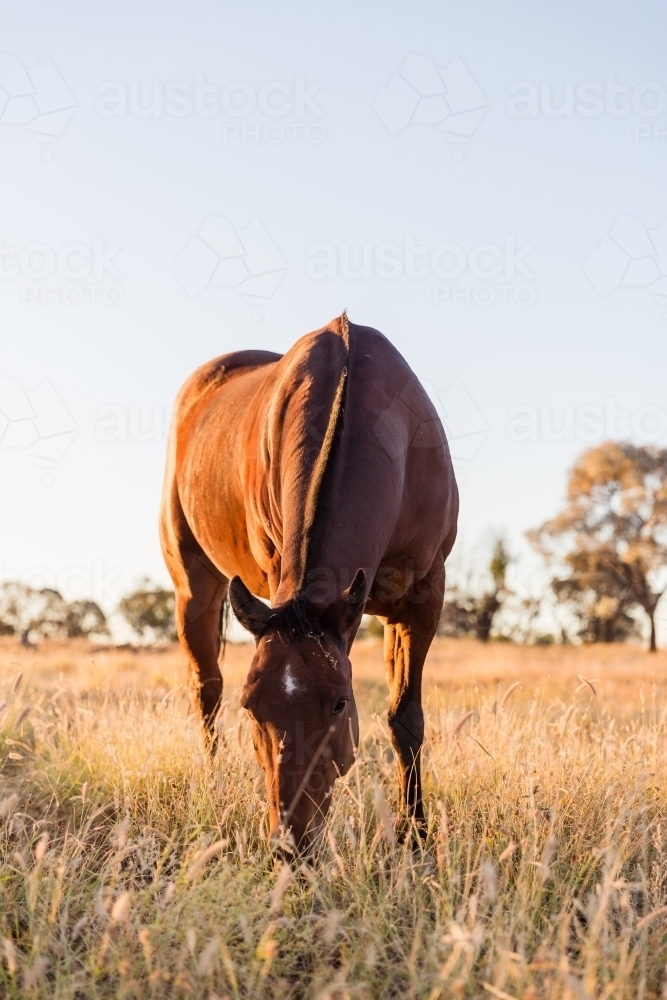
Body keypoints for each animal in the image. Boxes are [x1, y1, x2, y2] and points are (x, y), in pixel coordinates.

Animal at [160, 316, 460, 856]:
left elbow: (405, 719)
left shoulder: (422, 599)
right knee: (206, 688)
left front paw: (415, 837)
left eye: (339, 702)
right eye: (252, 705)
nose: (290, 844)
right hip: (194, 587)